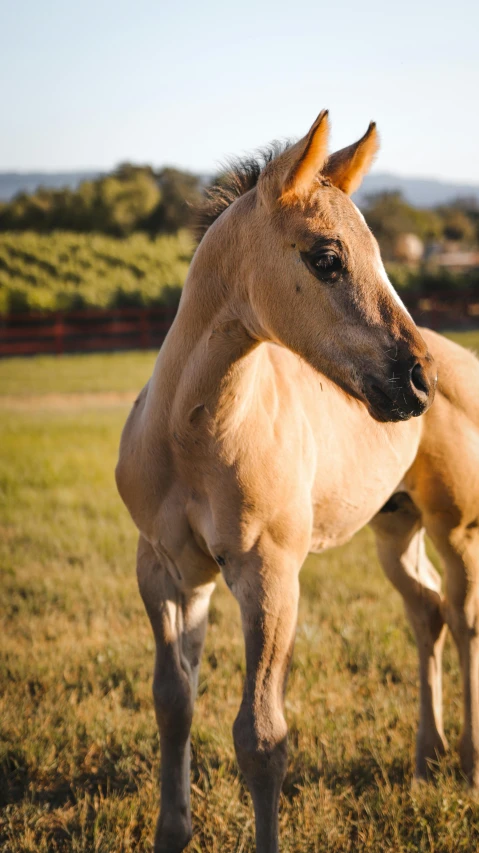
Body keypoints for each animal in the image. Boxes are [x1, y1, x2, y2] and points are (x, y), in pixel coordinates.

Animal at [116, 108, 479, 852]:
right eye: (327, 257)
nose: (417, 381)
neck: (190, 435)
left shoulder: (270, 574)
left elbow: (261, 738)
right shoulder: (166, 571)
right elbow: (173, 703)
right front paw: (172, 831)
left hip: (452, 526)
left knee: (462, 619)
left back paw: (466, 759)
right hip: (395, 527)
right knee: (426, 611)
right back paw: (424, 759)